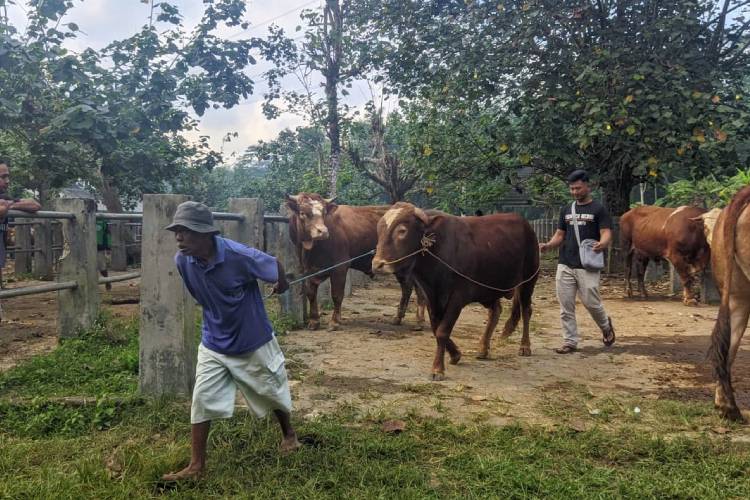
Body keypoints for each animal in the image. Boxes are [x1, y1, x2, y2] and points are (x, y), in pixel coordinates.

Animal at [286, 194, 428, 332]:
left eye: (324, 212)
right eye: (303, 213)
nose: (323, 232)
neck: (311, 249)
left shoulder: (340, 267)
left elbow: (337, 295)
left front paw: (334, 322)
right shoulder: (308, 270)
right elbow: (311, 293)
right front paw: (314, 321)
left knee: (416, 288)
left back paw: (419, 321)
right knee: (407, 288)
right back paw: (399, 318)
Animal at [372, 201, 536, 380]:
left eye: (402, 231)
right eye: (379, 229)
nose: (377, 264)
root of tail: (525, 223)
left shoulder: (457, 298)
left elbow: (443, 331)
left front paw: (437, 369)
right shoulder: (431, 297)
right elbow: (436, 328)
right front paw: (455, 354)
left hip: (528, 281)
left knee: (526, 310)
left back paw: (525, 346)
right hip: (488, 290)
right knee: (496, 311)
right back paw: (483, 348)